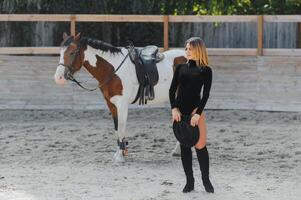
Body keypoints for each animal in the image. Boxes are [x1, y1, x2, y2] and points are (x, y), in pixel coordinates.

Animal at [54, 32, 185, 161]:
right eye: (60, 53)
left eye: (72, 52)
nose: (58, 78)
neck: (113, 70)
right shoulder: (111, 104)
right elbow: (117, 128)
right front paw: (120, 152)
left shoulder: (122, 104)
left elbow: (121, 128)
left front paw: (120, 156)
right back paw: (177, 151)